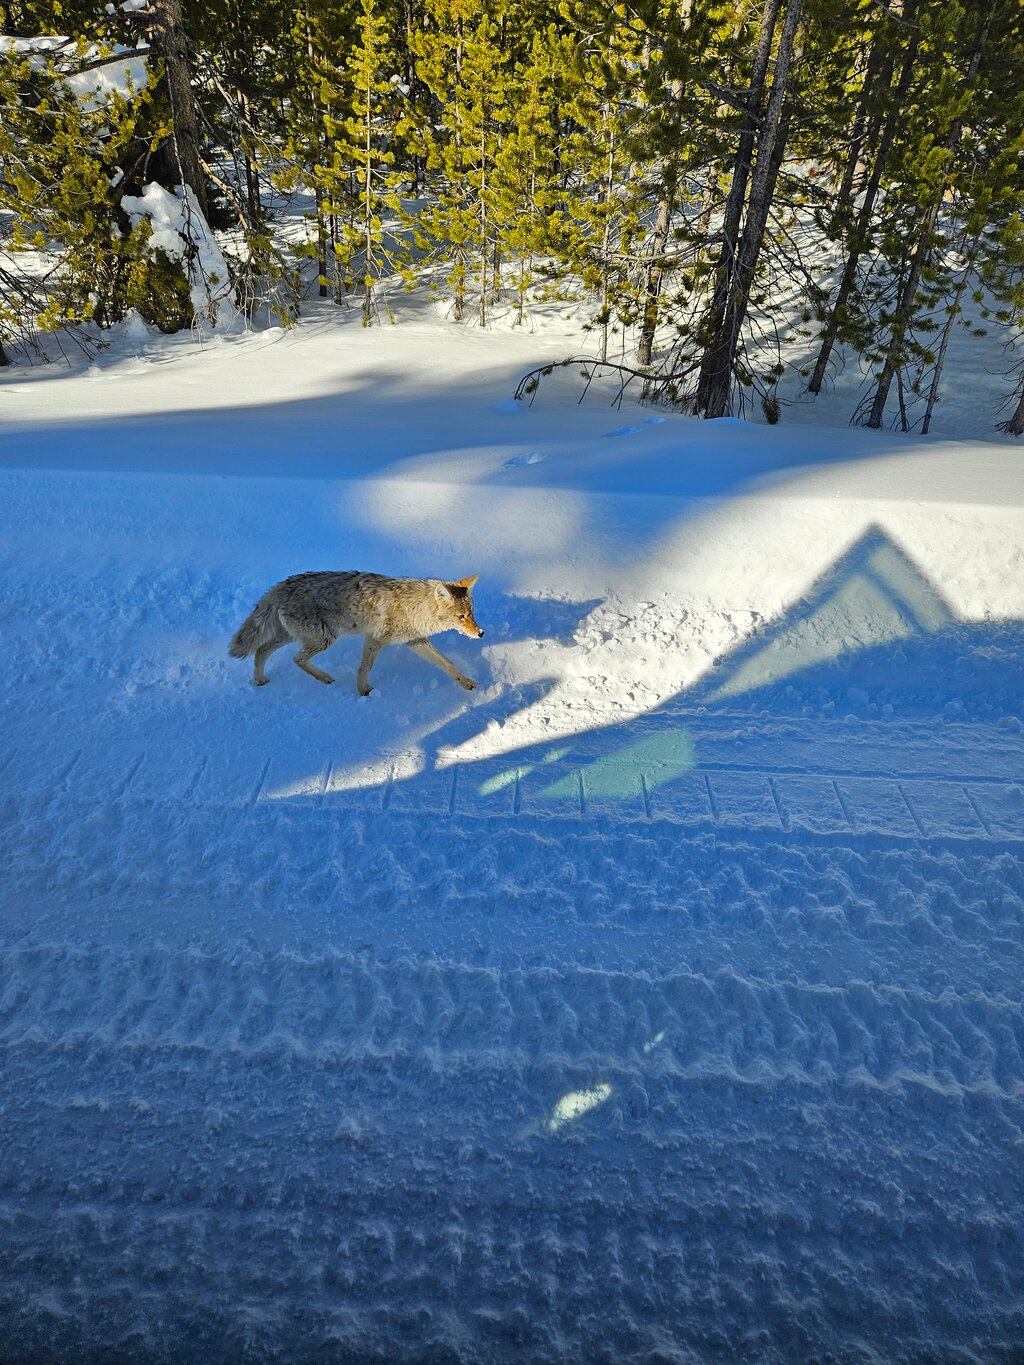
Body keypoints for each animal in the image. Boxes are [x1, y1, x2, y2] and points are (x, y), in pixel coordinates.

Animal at [229, 570, 485, 695]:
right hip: (324, 639)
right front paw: (363, 692)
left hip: (293, 637)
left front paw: (466, 683)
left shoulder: (416, 641)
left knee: (262, 650)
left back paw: (260, 680)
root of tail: (279, 586)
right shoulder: (374, 639)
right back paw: (324, 678)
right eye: (461, 617)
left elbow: (447, 663)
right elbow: (365, 667)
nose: (481, 633)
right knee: (295, 658)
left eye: (471, 613)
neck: (415, 608)